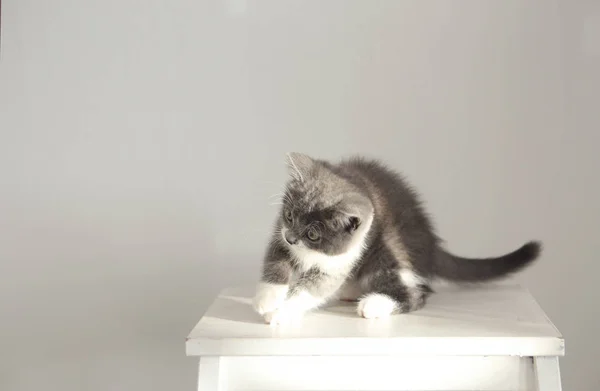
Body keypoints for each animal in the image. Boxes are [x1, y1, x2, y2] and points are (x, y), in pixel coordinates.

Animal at [251, 152, 540, 326]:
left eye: (313, 234)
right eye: (289, 216)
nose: (291, 238)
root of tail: (431, 243)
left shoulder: (341, 259)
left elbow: (315, 287)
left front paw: (281, 312)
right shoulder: (279, 235)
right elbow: (275, 261)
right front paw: (268, 299)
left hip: (390, 245)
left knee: (416, 293)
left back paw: (375, 303)